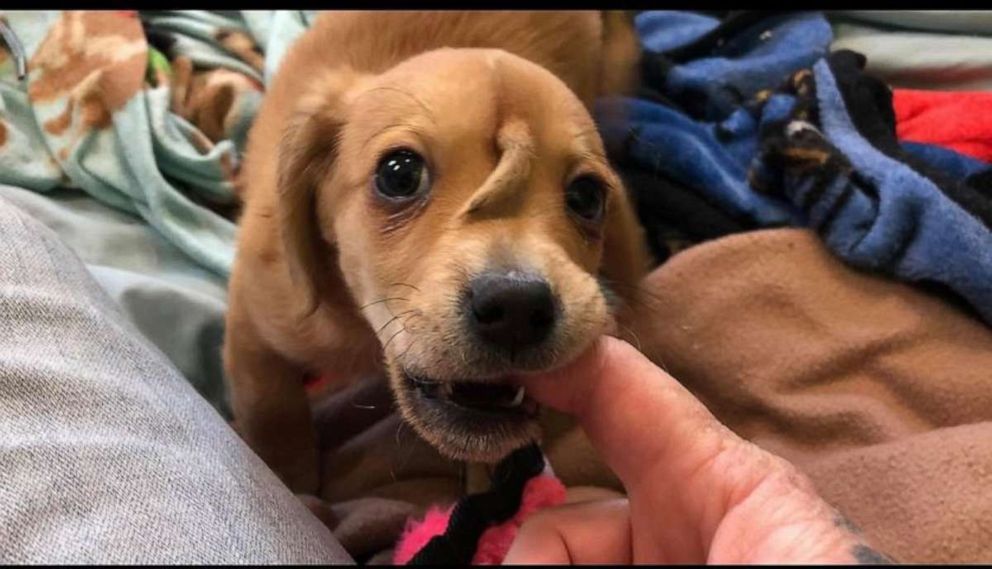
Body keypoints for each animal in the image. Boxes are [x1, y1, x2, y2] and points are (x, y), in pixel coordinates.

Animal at [223, 11, 652, 494]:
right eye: (399, 173)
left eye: (586, 196)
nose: (518, 308)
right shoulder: (255, 324)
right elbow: (272, 412)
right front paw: (290, 483)